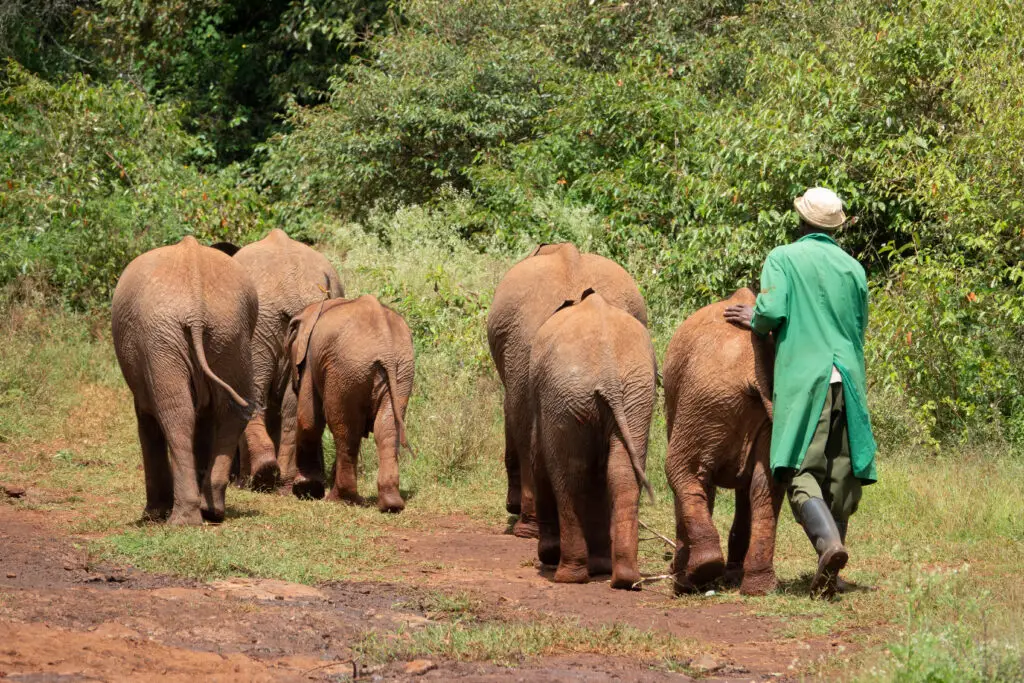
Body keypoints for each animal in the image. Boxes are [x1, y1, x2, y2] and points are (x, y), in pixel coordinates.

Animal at [111, 236, 257, 526]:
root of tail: (196, 310)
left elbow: (147, 419)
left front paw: (152, 515)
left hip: (162, 340)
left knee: (175, 415)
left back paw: (182, 520)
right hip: (230, 334)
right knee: (231, 412)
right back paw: (211, 511)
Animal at [284, 295, 414, 512]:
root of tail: (385, 345)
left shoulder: (311, 360)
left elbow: (308, 420)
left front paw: (305, 491)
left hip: (346, 369)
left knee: (345, 430)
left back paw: (340, 499)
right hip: (400, 370)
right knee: (386, 429)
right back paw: (391, 505)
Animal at [530, 291, 657, 589]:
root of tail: (609, 374)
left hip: (565, 395)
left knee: (569, 474)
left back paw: (568, 577)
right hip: (633, 394)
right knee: (619, 473)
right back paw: (624, 579)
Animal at [664, 288, 781, 596]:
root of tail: (753, 369)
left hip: (705, 399)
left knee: (683, 471)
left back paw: (694, 576)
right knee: (765, 488)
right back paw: (758, 587)